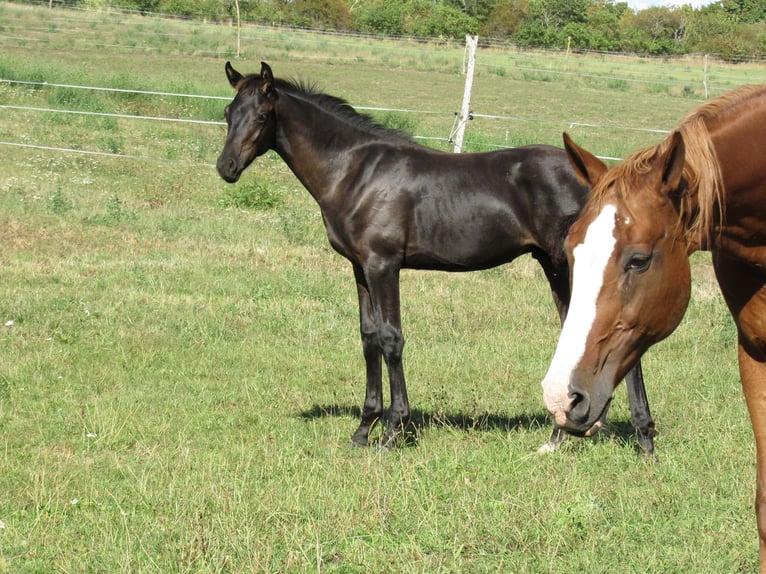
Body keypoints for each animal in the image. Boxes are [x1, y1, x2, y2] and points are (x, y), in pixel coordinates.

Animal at [215, 61, 655, 452]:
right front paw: (363, 429)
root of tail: (602, 180)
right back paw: (570, 434)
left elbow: (391, 339)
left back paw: (638, 437)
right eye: (228, 113)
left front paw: (394, 431)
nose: (226, 167)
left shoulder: (383, 265)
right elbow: (369, 338)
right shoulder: (360, 267)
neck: (356, 172)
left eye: (263, 114)